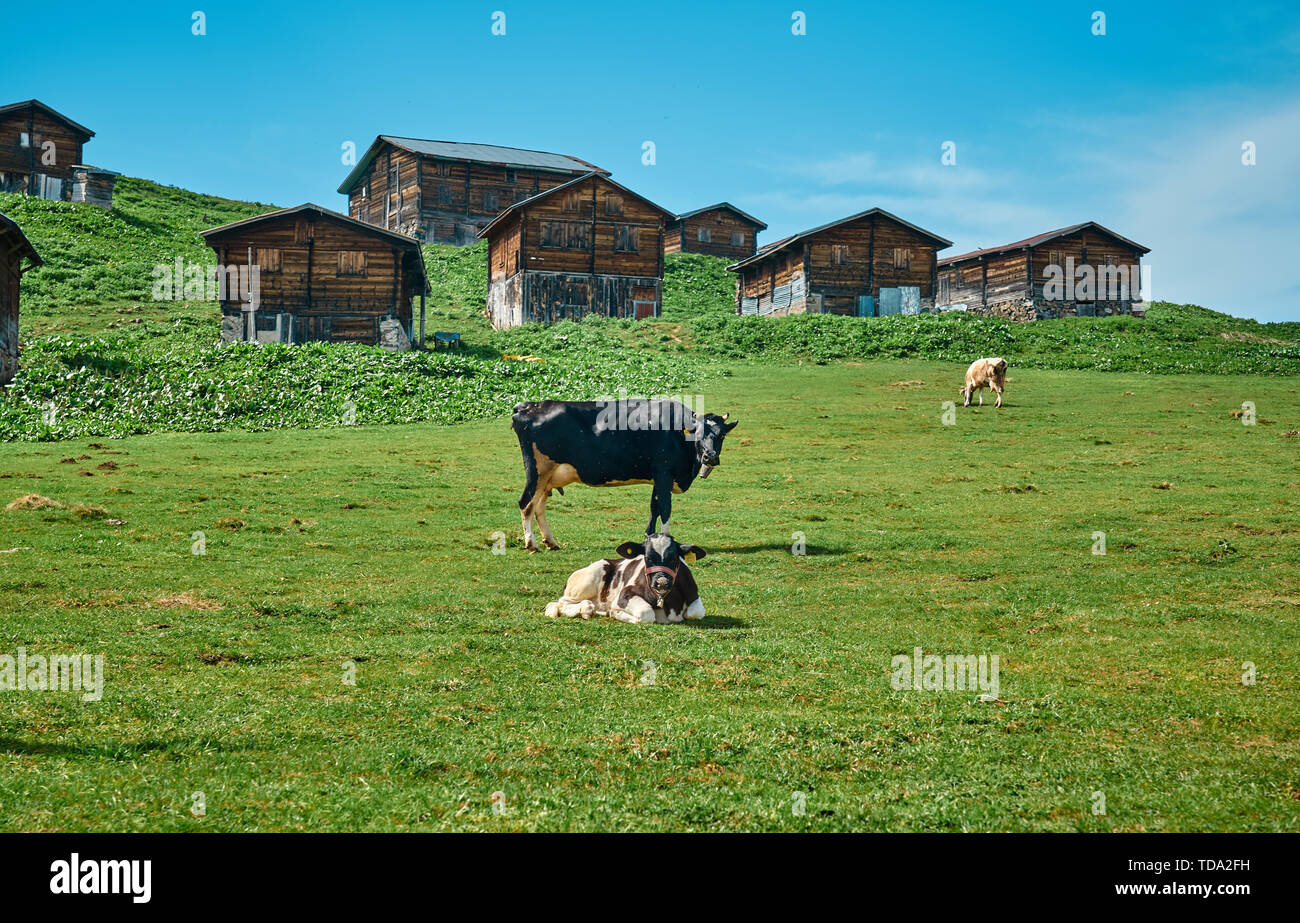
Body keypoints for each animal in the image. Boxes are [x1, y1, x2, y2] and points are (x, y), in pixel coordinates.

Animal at [509, 400, 738, 556]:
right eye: (697, 433)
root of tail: (528, 406)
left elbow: (654, 507)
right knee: (526, 503)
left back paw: (551, 542)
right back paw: (532, 544)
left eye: (721, 434)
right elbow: (665, 508)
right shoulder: (664, 473)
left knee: (538, 506)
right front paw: (666, 541)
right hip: (537, 471)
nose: (710, 456)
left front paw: (649, 537)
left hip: (547, 477)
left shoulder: (657, 477)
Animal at [548, 530, 712, 626]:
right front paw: (616, 613)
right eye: (647, 557)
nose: (662, 582)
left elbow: (695, 613)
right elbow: (646, 614)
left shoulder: (694, 596)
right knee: (559, 604)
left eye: (673, 558)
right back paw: (586, 609)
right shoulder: (624, 595)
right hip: (588, 580)